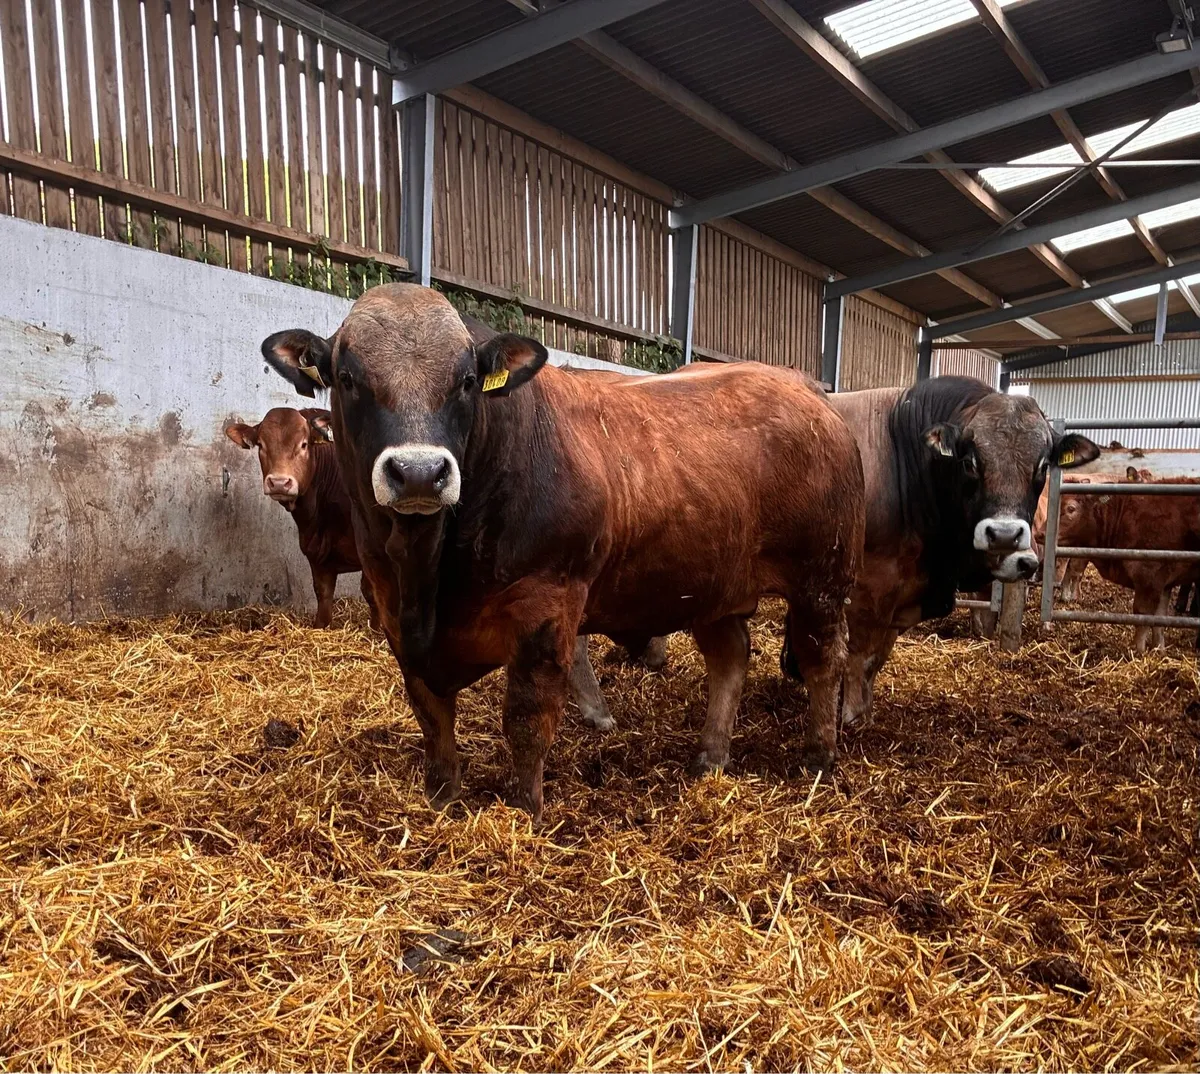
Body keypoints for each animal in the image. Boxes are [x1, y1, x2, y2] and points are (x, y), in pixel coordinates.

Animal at [226, 407, 377, 629]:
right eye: (261, 445)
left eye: (304, 444)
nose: (279, 483)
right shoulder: (318, 553)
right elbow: (323, 595)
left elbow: (371, 593)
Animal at [257, 283, 865, 820]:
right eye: (348, 378)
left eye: (467, 381)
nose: (420, 472)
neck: (425, 574)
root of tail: (809, 393)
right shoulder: (392, 612)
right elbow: (431, 714)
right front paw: (443, 796)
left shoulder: (546, 605)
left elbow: (527, 719)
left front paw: (525, 809)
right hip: (712, 584)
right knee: (730, 657)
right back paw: (710, 757)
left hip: (822, 577)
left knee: (823, 658)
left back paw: (819, 755)